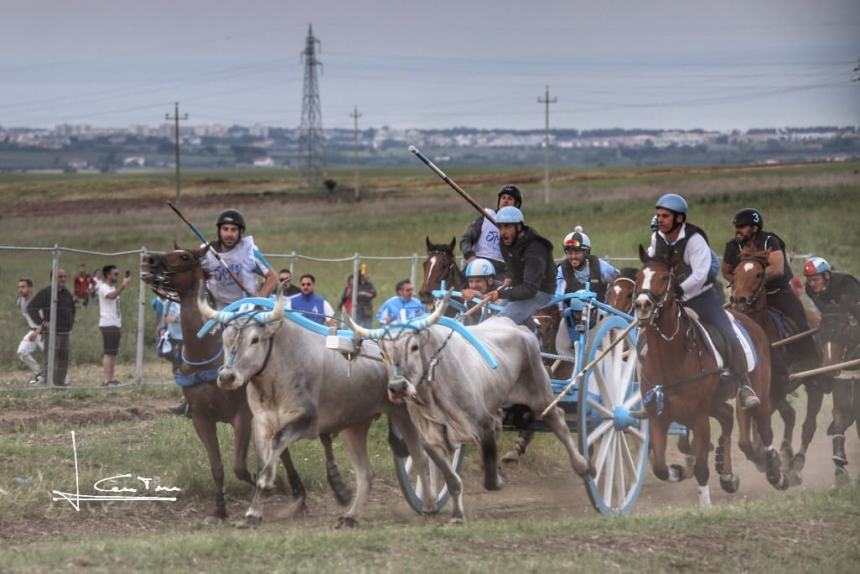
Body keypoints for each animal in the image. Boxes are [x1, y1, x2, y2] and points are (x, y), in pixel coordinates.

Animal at [141, 246, 350, 520]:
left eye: (184, 256)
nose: (149, 260)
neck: (206, 353)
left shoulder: (243, 417)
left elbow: (240, 467)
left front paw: (273, 486)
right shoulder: (202, 418)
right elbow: (218, 466)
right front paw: (220, 509)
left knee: (322, 438)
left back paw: (332, 487)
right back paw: (298, 492)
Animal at [632, 245, 788, 506]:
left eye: (664, 277)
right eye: (638, 277)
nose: (643, 304)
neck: (670, 359)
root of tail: (751, 321)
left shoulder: (698, 417)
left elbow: (701, 468)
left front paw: (704, 503)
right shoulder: (657, 416)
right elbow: (661, 467)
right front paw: (678, 471)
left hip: (759, 395)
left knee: (764, 430)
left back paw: (776, 473)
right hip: (714, 402)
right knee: (726, 416)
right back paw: (726, 474)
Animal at [728, 249, 828, 486]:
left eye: (758, 274)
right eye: (735, 272)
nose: (739, 300)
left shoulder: (777, 387)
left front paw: (776, 459)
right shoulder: (756, 391)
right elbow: (748, 436)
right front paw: (766, 458)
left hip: (813, 385)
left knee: (808, 425)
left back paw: (796, 463)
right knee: (786, 416)